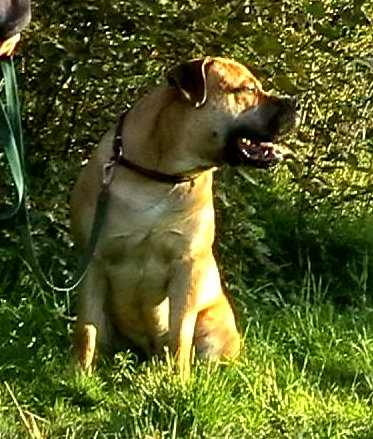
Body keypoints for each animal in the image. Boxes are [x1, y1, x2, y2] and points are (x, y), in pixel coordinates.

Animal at [71, 56, 294, 378]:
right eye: (248, 89)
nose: (296, 103)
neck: (161, 177)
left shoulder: (186, 266)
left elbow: (180, 334)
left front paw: (179, 380)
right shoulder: (94, 260)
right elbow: (86, 329)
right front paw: (77, 374)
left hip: (214, 324)